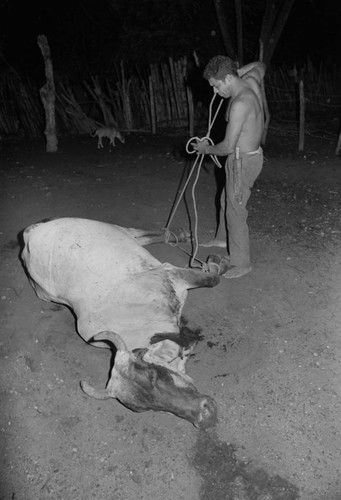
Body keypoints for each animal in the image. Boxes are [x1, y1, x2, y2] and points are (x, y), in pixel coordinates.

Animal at [21, 217, 228, 428]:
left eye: (152, 375)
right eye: (148, 407)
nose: (206, 418)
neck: (137, 319)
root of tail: (31, 232)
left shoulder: (170, 273)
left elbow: (213, 279)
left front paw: (217, 263)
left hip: (116, 229)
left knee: (141, 233)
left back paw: (183, 235)